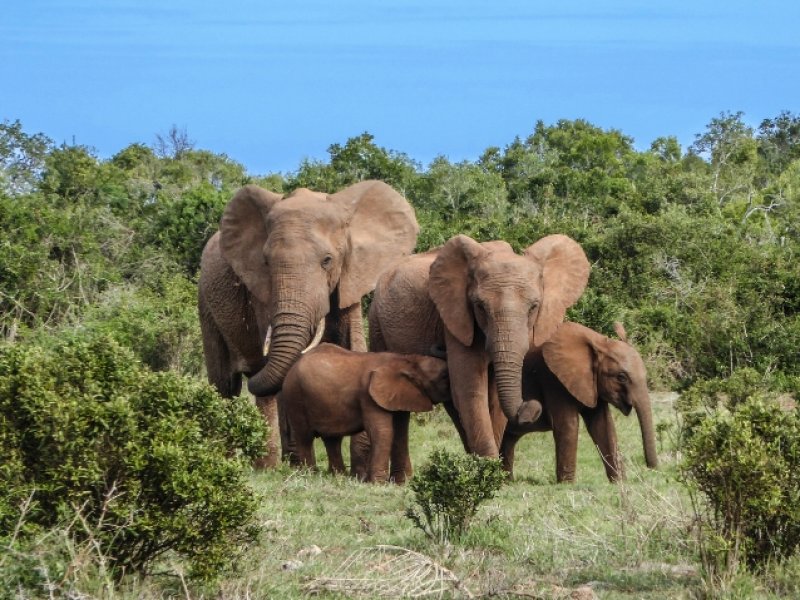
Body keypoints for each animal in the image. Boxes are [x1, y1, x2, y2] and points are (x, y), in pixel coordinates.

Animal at [198, 180, 418, 466]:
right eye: (266, 262)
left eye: (327, 261)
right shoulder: (262, 292)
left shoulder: (350, 277)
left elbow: (354, 345)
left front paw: (359, 466)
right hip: (205, 302)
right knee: (225, 384)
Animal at [276, 342, 450, 482]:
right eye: (444, 376)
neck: (407, 360)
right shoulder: (368, 395)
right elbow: (382, 432)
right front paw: (377, 484)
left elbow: (400, 432)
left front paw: (404, 482)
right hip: (294, 396)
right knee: (305, 437)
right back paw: (310, 475)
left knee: (332, 439)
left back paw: (338, 477)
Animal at [504, 322, 660, 480]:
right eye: (621, 377)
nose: (651, 468)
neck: (599, 342)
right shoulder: (552, 379)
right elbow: (568, 425)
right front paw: (566, 483)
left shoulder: (592, 385)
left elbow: (603, 425)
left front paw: (620, 482)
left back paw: (507, 481)